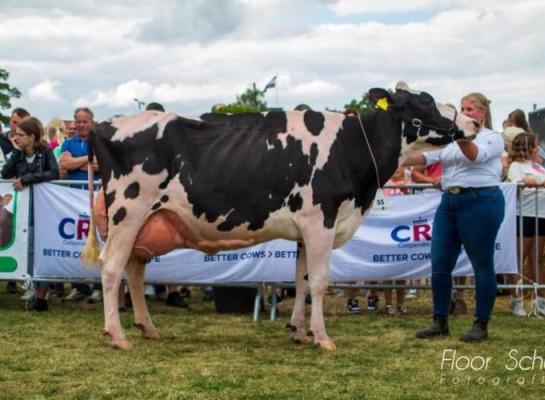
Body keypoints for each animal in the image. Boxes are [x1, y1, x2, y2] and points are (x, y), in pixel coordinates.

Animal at [82, 82, 476, 350]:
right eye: (426, 100)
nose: (472, 122)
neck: (353, 147)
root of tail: (103, 124)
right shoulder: (321, 221)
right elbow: (319, 281)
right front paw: (322, 338)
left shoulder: (305, 230)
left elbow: (301, 280)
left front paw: (299, 331)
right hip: (128, 211)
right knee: (112, 268)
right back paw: (117, 335)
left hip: (147, 222)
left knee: (134, 271)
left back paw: (147, 328)